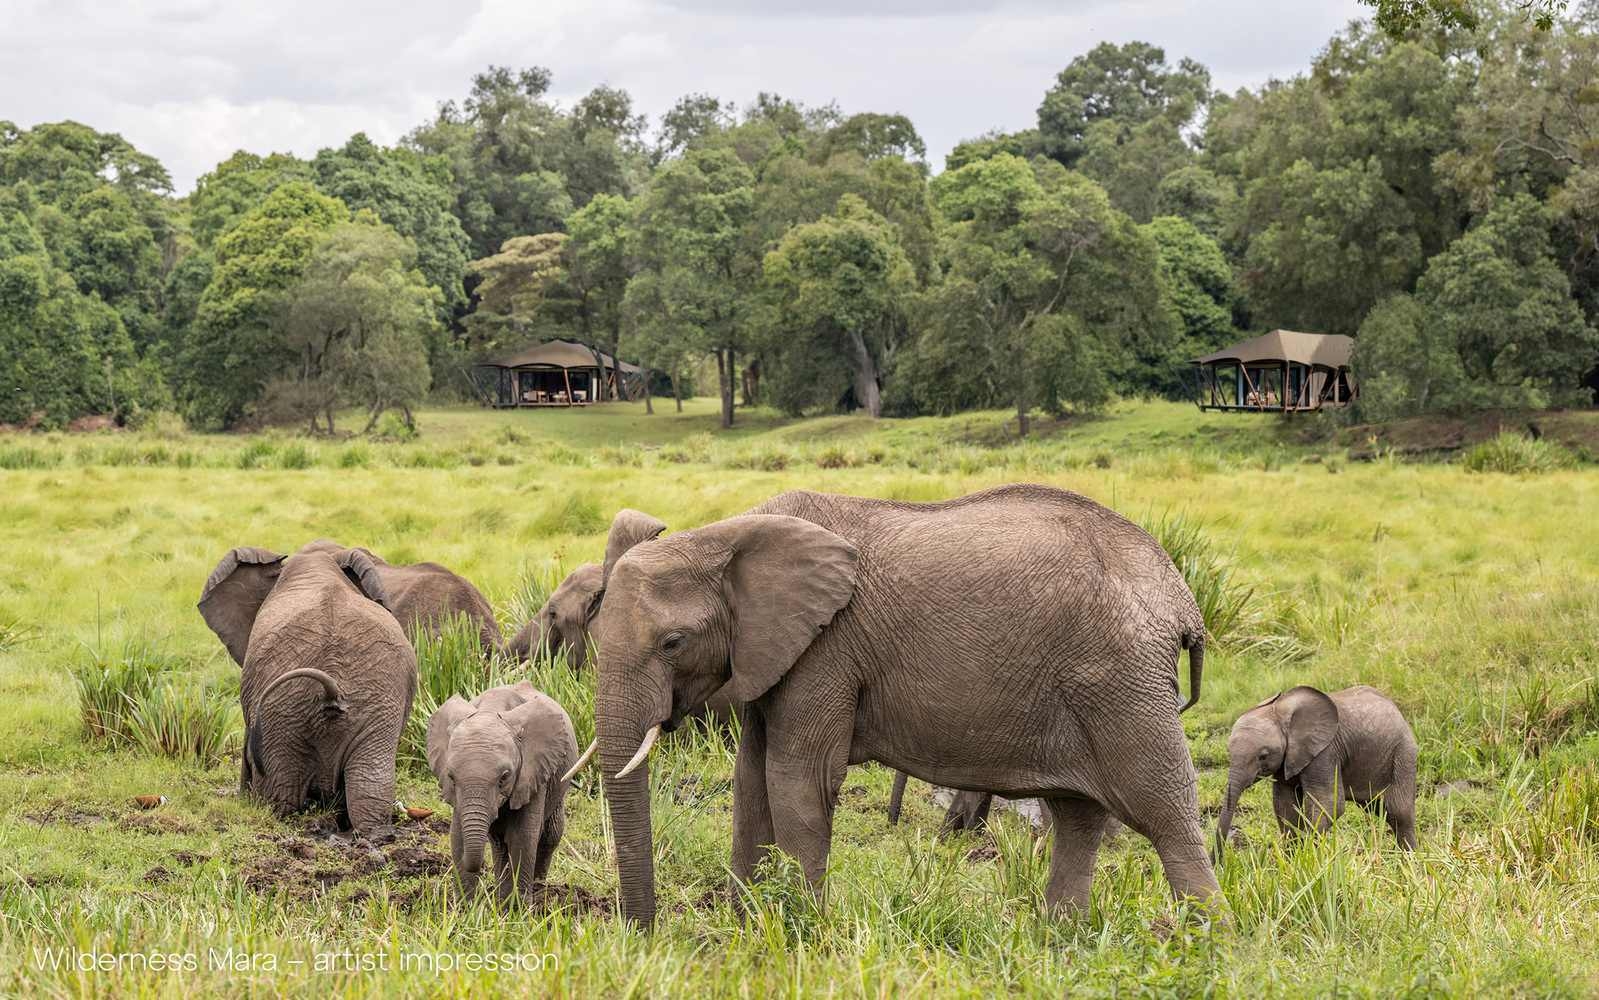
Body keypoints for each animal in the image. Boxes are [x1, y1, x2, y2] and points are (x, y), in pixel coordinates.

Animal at [198, 543, 417, 835]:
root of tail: (333, 690)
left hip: (281, 713)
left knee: (280, 793)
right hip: (375, 709)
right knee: (370, 784)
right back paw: (372, 835)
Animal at [426, 681, 578, 900]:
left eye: (504, 777)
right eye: (451, 777)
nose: (479, 867)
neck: (491, 709)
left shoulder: (532, 773)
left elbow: (523, 837)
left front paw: (519, 907)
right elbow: (458, 836)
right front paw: (464, 906)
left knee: (549, 836)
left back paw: (536, 891)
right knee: (499, 844)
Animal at [579, 483, 1216, 926]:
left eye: (673, 643)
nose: (645, 934)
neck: (723, 535)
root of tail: (1182, 598)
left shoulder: (827, 648)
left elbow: (798, 780)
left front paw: (802, 933)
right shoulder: (770, 652)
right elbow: (751, 782)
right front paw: (748, 929)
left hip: (1122, 683)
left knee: (1163, 811)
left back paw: (1202, 943)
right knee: (1079, 816)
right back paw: (1062, 939)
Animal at [1216, 684, 1418, 852]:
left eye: (1263, 756)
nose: (1218, 862)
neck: (1280, 711)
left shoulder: (1325, 752)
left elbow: (1328, 804)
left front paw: (1311, 858)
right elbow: (1285, 806)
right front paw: (1294, 859)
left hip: (1403, 754)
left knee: (1398, 812)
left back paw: (1408, 861)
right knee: (1380, 808)